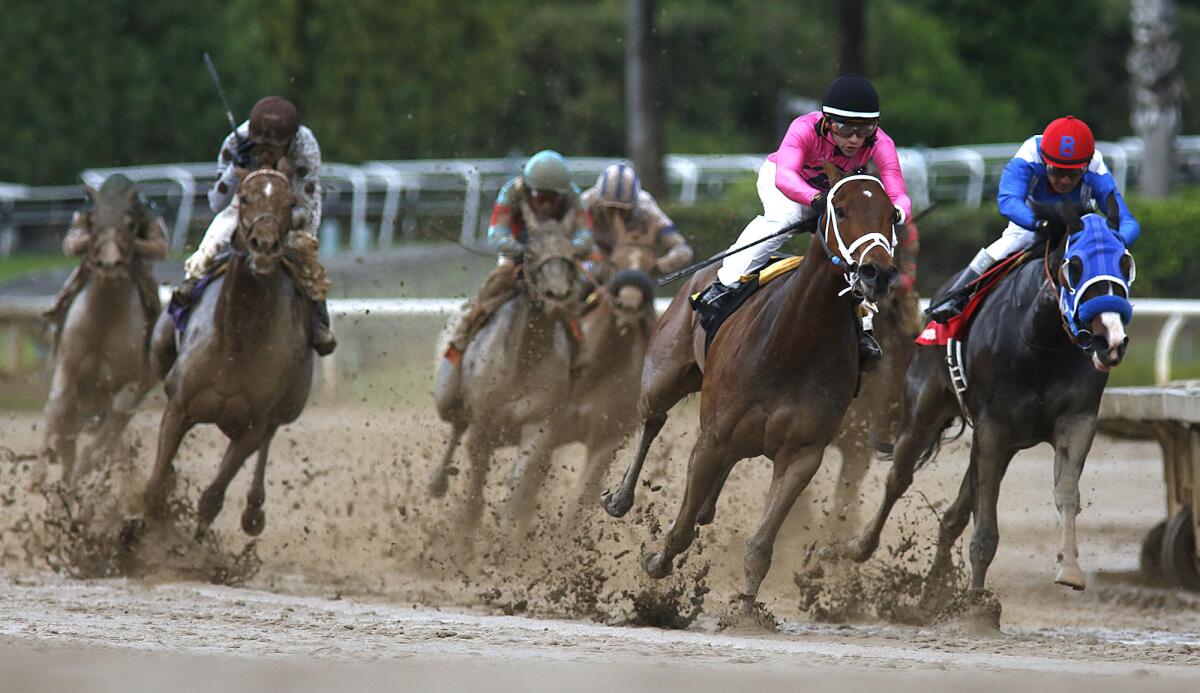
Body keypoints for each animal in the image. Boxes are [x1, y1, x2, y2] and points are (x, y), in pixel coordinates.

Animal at [38, 175, 163, 481]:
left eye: (130, 223)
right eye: (92, 221)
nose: (108, 262)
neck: (102, 325)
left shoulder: (130, 386)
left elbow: (109, 425)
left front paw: (86, 464)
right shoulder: (66, 370)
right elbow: (57, 409)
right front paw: (38, 479)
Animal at [142, 167, 314, 534]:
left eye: (289, 202)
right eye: (244, 198)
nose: (265, 245)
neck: (237, 339)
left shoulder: (252, 426)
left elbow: (212, 497)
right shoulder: (179, 407)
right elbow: (155, 485)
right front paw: (132, 535)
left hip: (291, 403)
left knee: (270, 436)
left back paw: (254, 510)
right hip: (161, 350)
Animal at [432, 207, 580, 537]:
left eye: (572, 254)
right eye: (532, 253)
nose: (557, 294)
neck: (523, 361)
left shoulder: (538, 425)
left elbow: (520, 486)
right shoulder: (483, 427)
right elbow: (475, 494)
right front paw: (464, 540)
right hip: (447, 396)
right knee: (456, 424)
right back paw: (437, 481)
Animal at [609, 164, 902, 606]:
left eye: (892, 215)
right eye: (841, 210)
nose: (877, 273)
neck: (794, 342)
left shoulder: (802, 453)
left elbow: (761, 545)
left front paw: (746, 607)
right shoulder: (712, 436)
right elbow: (680, 529)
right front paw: (656, 562)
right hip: (664, 373)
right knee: (652, 419)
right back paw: (621, 496)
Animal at [844, 194, 1132, 594]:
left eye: (1126, 262)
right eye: (1075, 265)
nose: (1111, 340)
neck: (1040, 341)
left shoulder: (1075, 421)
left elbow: (1066, 493)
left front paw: (1070, 568)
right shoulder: (993, 426)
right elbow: (984, 529)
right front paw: (975, 601)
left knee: (954, 514)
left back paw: (934, 589)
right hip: (924, 411)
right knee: (898, 478)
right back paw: (859, 546)